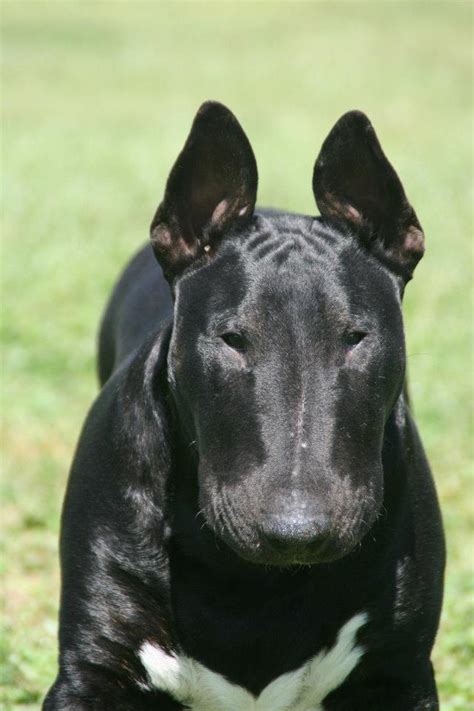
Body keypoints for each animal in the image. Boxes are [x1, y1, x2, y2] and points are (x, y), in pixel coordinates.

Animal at [43, 101, 444, 711]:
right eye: (232, 338)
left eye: (355, 337)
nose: (297, 530)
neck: (251, 582)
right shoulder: (91, 671)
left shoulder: (399, 673)